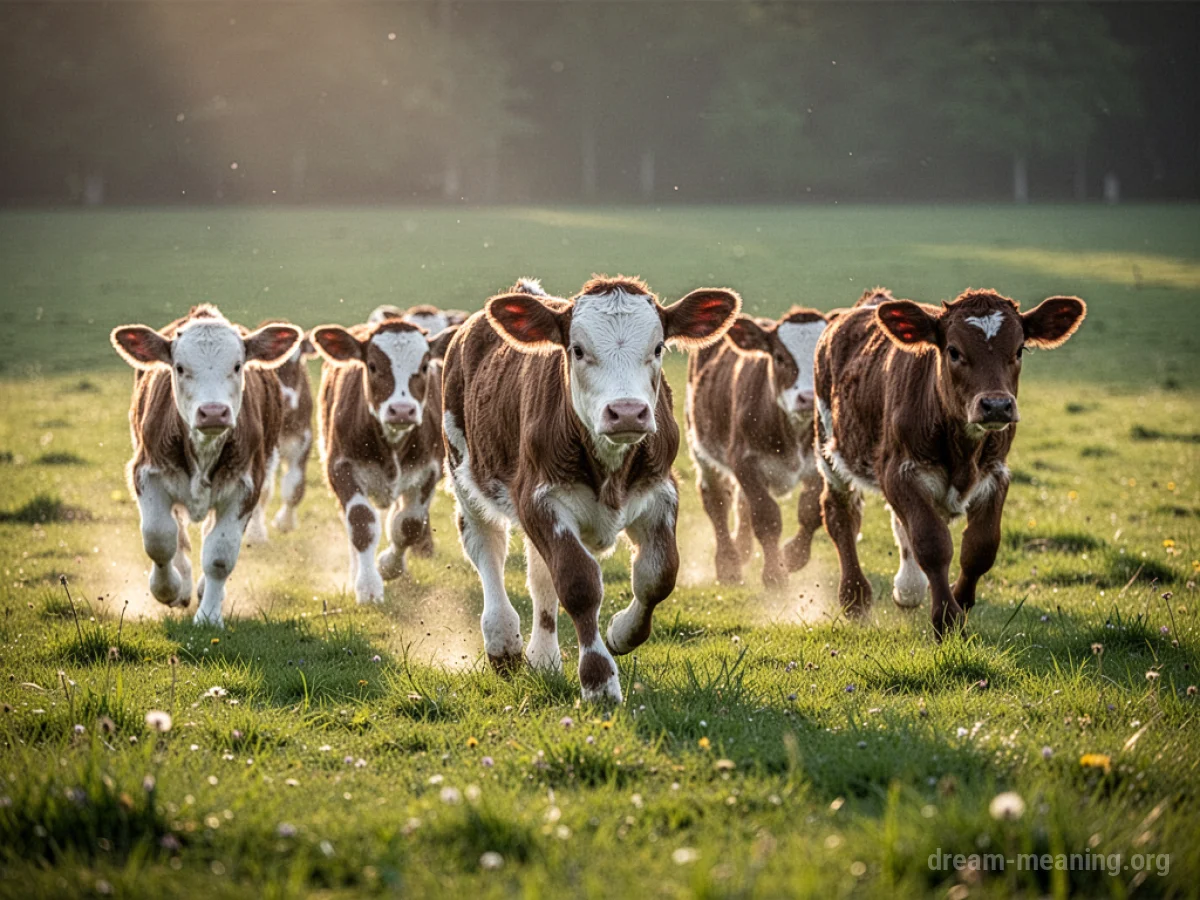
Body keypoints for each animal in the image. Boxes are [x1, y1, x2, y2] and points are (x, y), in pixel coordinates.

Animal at [110, 305, 303, 626]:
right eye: (179, 367)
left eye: (237, 366)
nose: (213, 412)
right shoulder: (147, 474)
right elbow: (160, 538)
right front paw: (168, 588)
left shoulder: (246, 486)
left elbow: (219, 555)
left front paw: (210, 615)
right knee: (178, 533)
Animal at [311, 317, 457, 603]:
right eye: (373, 365)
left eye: (424, 366)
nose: (401, 410)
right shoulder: (340, 468)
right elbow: (361, 523)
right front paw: (367, 585)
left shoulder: (428, 471)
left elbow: (408, 525)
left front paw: (389, 566)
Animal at [441, 275, 740, 702]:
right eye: (578, 350)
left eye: (658, 347)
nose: (628, 411)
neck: (609, 466)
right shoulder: (539, 499)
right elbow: (578, 583)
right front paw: (599, 681)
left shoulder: (661, 493)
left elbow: (658, 575)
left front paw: (621, 633)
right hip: (465, 474)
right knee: (487, 548)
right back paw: (503, 640)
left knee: (539, 578)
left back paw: (544, 659)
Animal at [686, 306, 830, 587]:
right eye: (780, 357)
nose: (808, 398)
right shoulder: (745, 462)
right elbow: (766, 517)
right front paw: (775, 574)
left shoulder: (818, 464)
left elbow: (810, 511)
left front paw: (793, 555)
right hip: (702, 450)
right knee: (717, 502)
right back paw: (728, 563)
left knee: (741, 503)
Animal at [813, 287, 1086, 638]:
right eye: (954, 351)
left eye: (1019, 349)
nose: (996, 405)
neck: (962, 451)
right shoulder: (898, 473)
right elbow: (932, 543)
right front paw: (946, 618)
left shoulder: (996, 475)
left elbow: (980, 547)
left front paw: (961, 601)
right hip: (829, 447)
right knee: (841, 515)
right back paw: (855, 597)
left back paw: (908, 589)